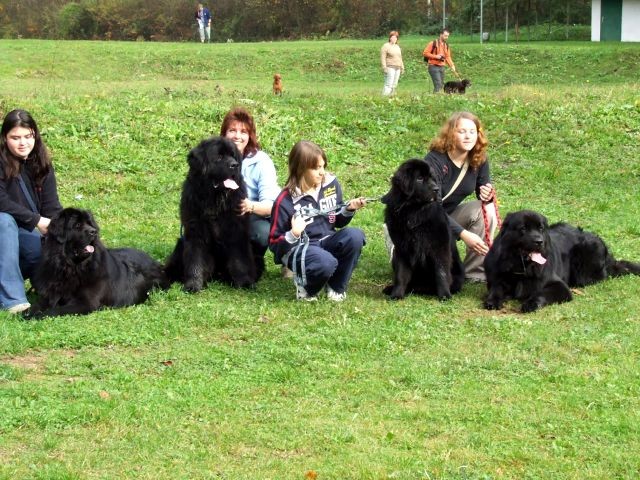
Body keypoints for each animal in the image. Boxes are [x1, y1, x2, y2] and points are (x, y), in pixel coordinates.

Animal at [27, 207, 169, 316]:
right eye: (77, 225)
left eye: (90, 223)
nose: (93, 232)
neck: (72, 267)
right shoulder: (51, 293)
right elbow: (38, 304)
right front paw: (27, 312)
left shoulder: (86, 303)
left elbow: (55, 311)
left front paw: (39, 315)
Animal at [168, 137, 264, 290]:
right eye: (219, 157)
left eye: (232, 155)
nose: (235, 165)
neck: (214, 199)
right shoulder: (195, 230)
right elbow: (195, 258)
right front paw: (193, 284)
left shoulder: (237, 231)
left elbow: (240, 260)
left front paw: (245, 282)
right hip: (180, 245)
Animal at [382, 159, 462, 298]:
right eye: (419, 178)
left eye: (431, 178)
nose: (436, 189)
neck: (413, 210)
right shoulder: (401, 248)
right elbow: (401, 275)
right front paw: (397, 294)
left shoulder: (439, 247)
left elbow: (441, 272)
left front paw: (444, 295)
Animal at [484, 209, 640, 314]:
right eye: (523, 228)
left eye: (540, 228)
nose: (539, 241)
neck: (522, 268)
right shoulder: (499, 278)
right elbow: (496, 288)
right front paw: (492, 300)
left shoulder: (559, 287)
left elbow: (541, 293)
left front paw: (531, 304)